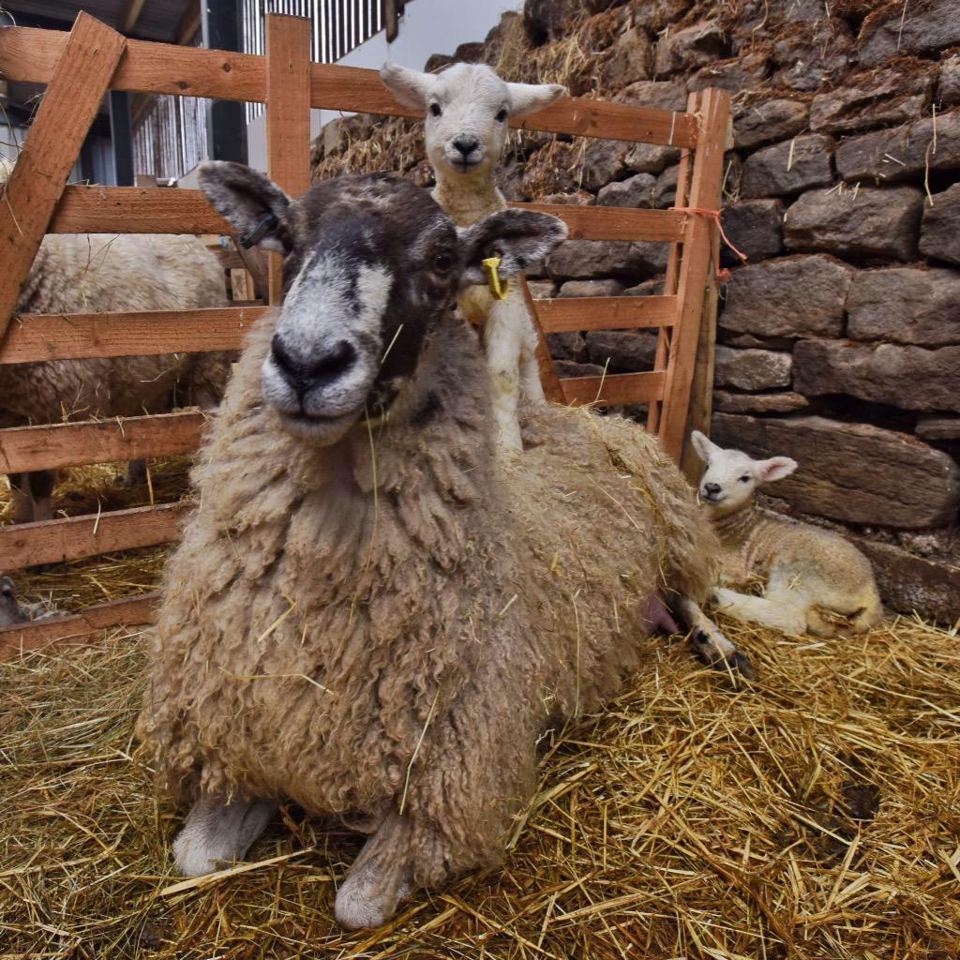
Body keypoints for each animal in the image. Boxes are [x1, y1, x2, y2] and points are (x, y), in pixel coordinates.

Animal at [137, 162, 750, 931]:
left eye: (438, 260)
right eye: (290, 240)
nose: (307, 363)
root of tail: (578, 413)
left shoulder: (448, 787)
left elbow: (356, 906)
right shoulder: (242, 744)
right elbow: (191, 858)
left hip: (673, 526)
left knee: (693, 593)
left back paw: (720, 648)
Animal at [379, 62, 565, 451]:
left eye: (502, 114)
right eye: (434, 108)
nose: (465, 144)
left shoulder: (508, 303)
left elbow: (503, 373)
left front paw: (509, 445)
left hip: (526, 331)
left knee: (528, 367)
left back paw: (539, 412)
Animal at [691, 431, 884, 636]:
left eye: (745, 478)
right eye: (708, 465)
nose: (712, 487)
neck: (734, 523)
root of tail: (872, 592)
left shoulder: (734, 566)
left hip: (798, 571)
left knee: (791, 616)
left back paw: (718, 596)